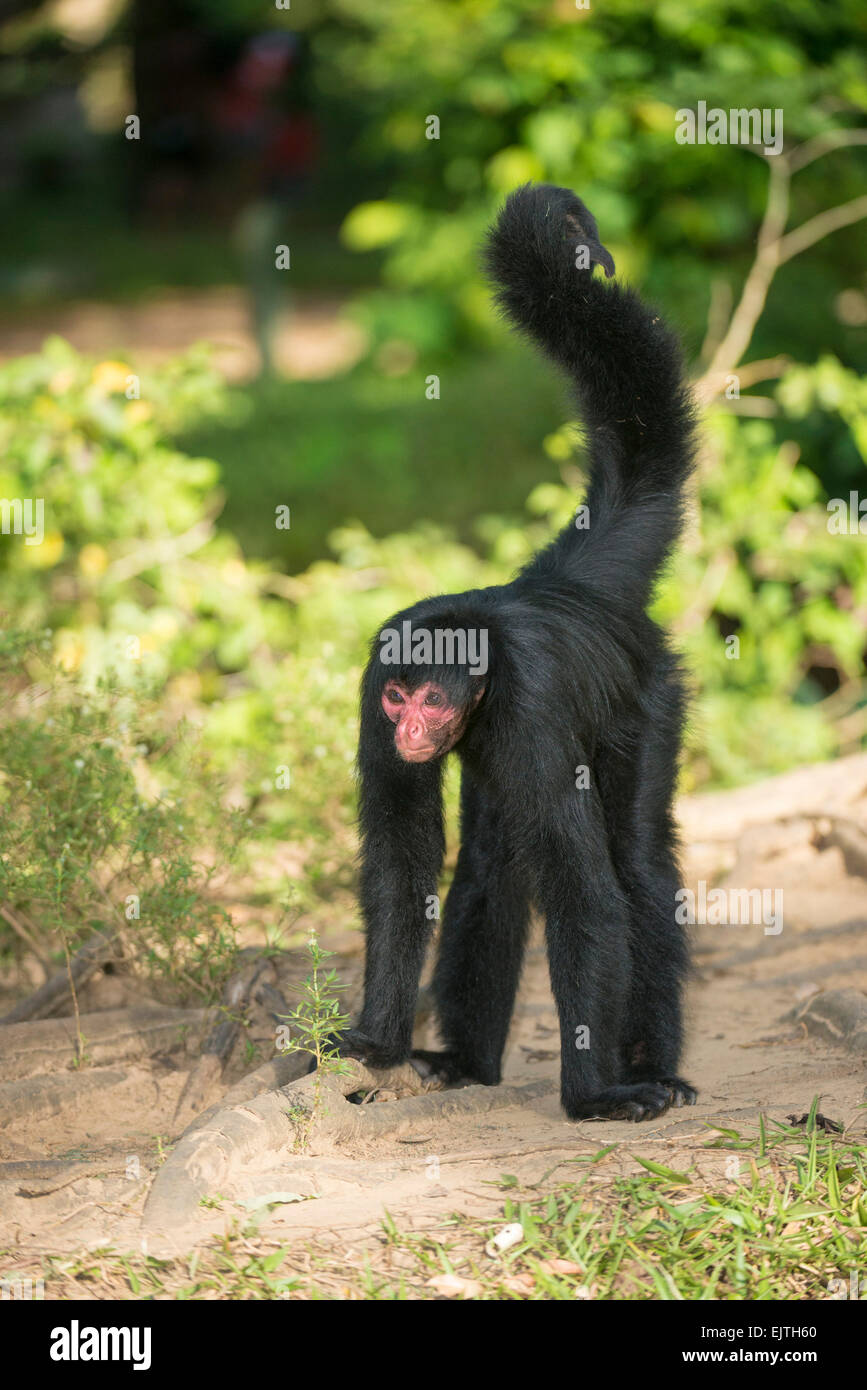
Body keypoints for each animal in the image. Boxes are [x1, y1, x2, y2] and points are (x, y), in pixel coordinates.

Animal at [320, 182, 697, 1122]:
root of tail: (562, 582)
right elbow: (404, 867)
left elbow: (586, 889)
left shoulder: (525, 708)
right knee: (490, 866)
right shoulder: (367, 684)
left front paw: (593, 1096)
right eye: (398, 700)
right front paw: (377, 1040)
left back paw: (654, 1066)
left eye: (433, 699)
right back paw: (462, 1061)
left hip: (650, 694)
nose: (413, 731)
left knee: (635, 857)